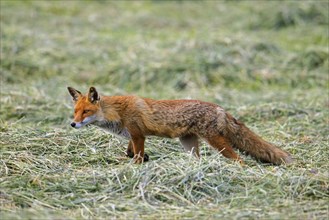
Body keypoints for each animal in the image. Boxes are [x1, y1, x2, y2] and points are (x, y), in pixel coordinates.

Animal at [67, 87, 292, 164]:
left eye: (85, 112)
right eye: (75, 111)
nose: (72, 124)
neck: (117, 112)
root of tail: (220, 108)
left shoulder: (139, 135)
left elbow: (136, 157)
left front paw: (138, 167)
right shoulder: (133, 136)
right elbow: (130, 153)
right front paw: (145, 159)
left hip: (217, 143)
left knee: (240, 160)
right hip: (189, 144)